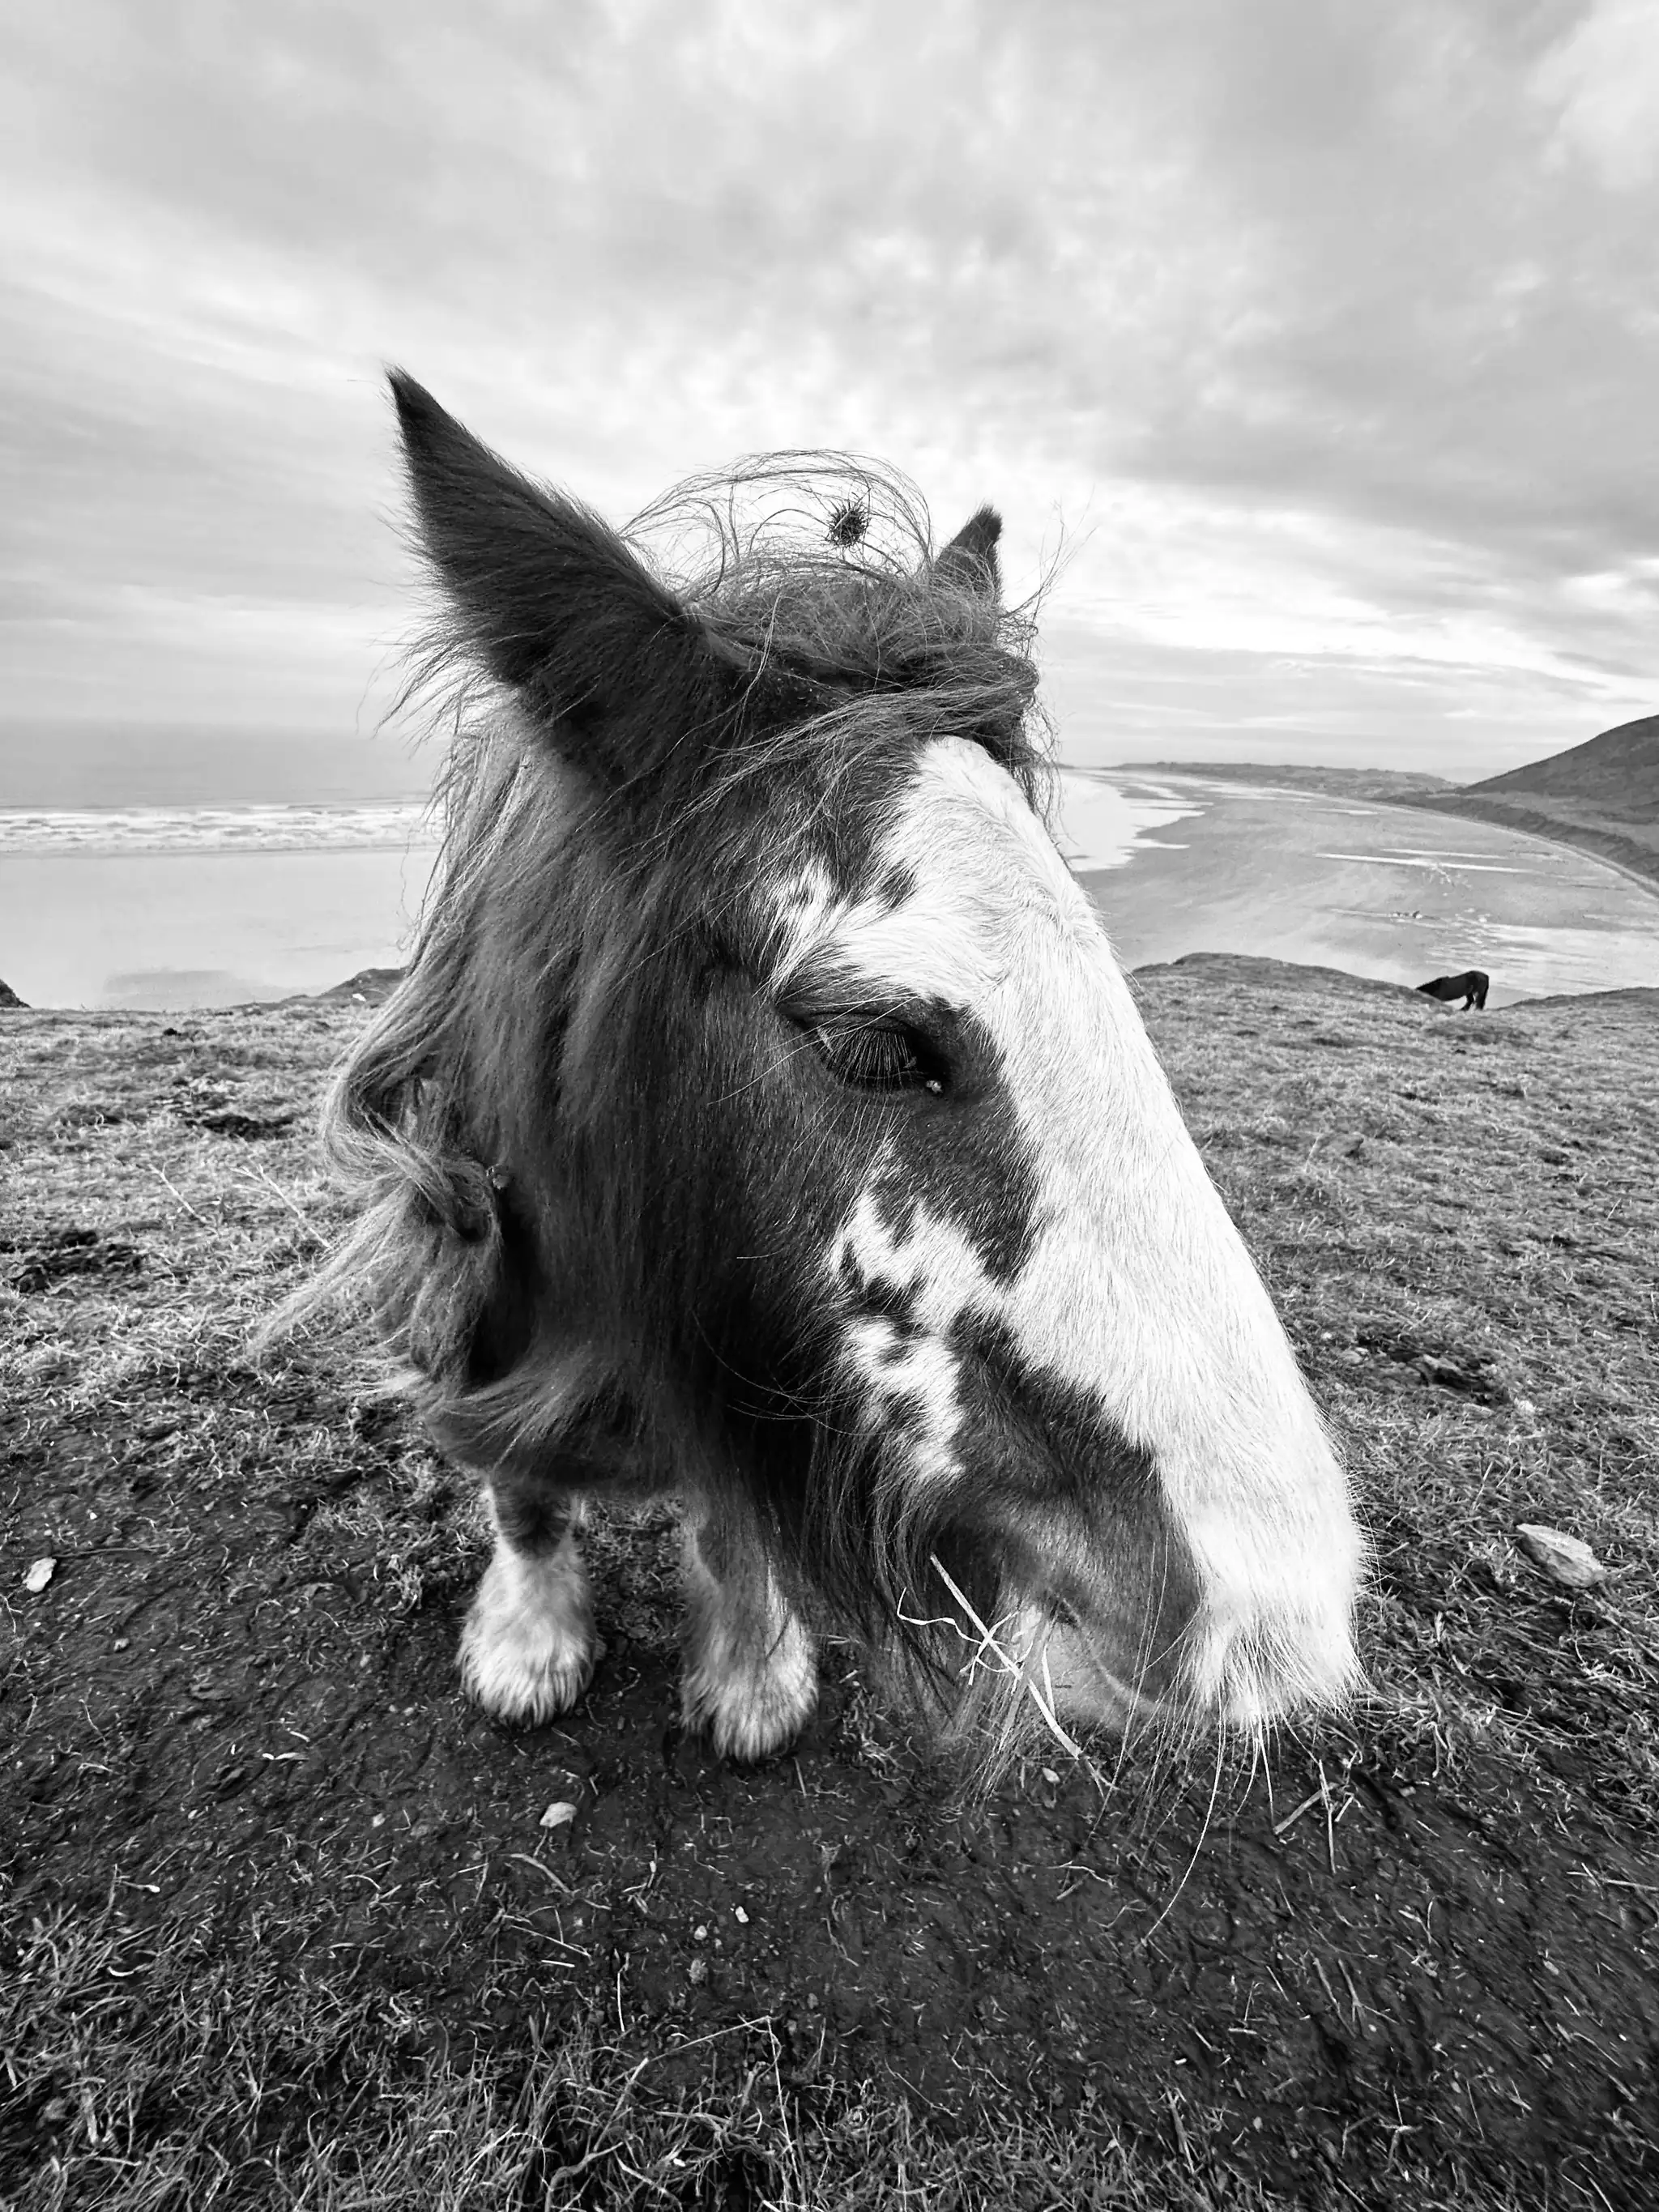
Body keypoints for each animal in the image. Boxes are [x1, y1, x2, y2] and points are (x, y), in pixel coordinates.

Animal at [295, 371, 1363, 1774]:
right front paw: (529, 1641)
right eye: (871, 1039)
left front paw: (749, 1665)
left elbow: (731, 1510)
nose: (1281, 1618)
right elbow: (519, 1481)